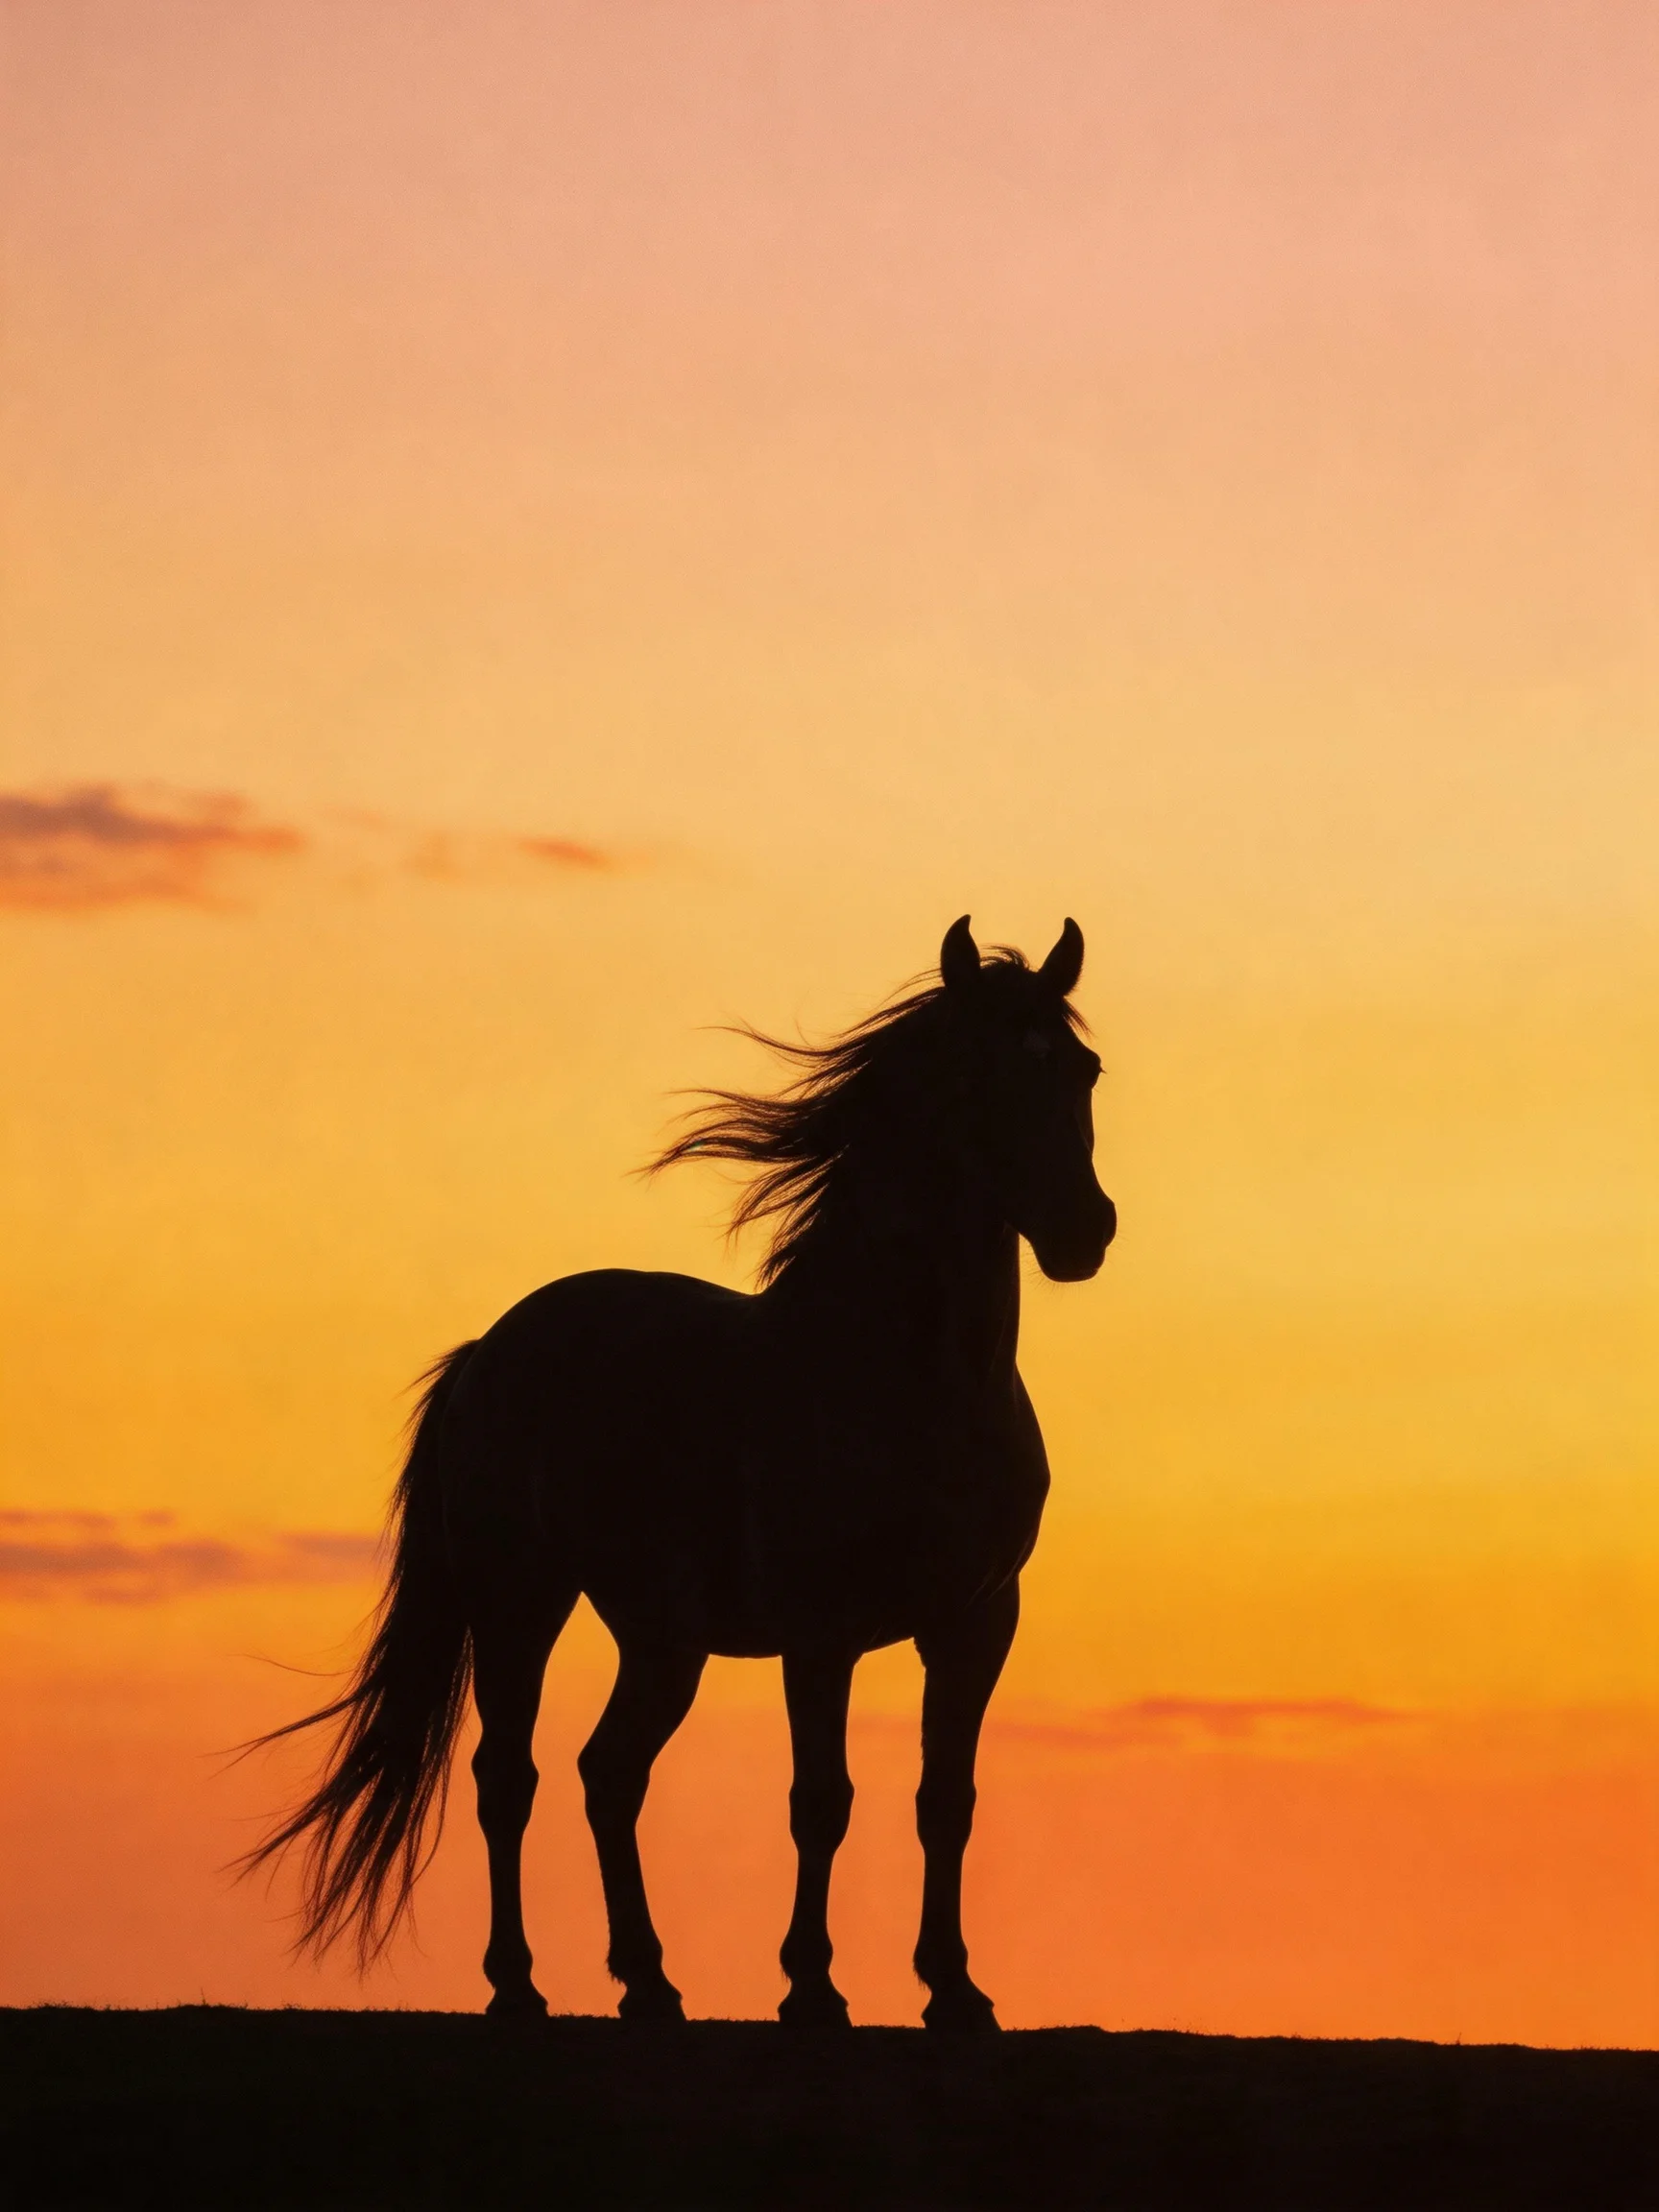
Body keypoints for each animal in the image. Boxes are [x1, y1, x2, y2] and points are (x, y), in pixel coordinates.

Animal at [247, 915, 1115, 2032]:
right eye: (979, 1072)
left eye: (1083, 1071)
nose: (1084, 1231)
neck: (898, 1373)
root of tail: (490, 1348)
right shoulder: (820, 1631)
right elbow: (821, 1802)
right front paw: (811, 1989)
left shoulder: (974, 1625)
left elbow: (945, 1802)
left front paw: (955, 1990)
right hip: (520, 1604)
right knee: (509, 1776)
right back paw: (519, 1985)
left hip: (662, 1640)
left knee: (608, 1774)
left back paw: (650, 1983)